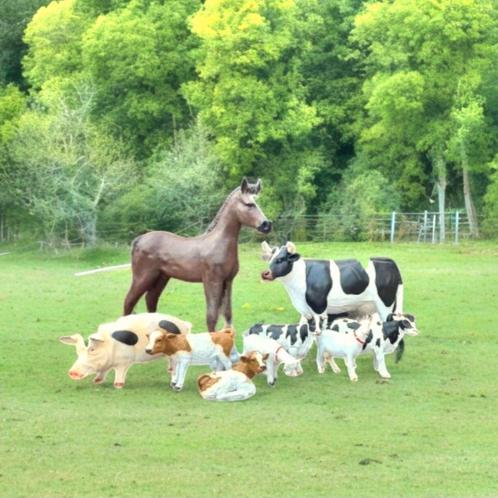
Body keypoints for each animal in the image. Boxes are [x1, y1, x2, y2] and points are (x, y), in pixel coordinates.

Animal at [58, 312, 191, 390]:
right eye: (78, 352)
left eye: (92, 349)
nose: (72, 372)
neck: (110, 345)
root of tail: (185, 324)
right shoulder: (106, 365)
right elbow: (102, 372)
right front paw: (96, 381)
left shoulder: (124, 361)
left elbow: (120, 372)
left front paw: (118, 386)